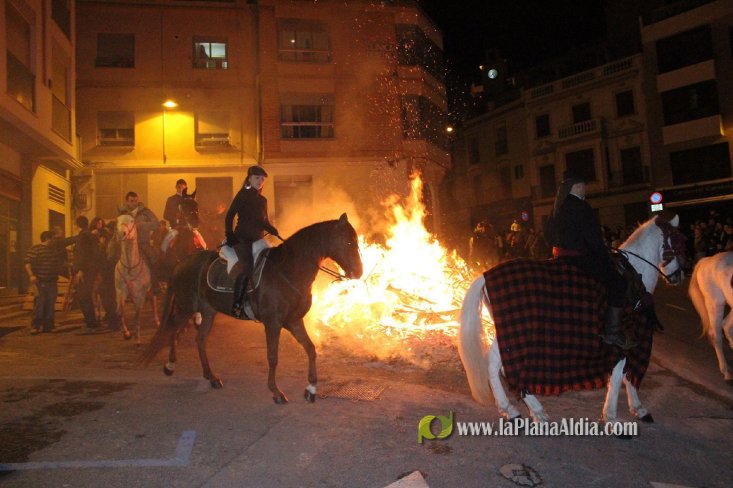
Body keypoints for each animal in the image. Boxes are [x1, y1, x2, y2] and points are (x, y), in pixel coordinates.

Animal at [114, 215, 152, 346]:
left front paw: (137, 338)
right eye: (117, 220)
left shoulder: (140, 294)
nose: (121, 233)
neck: (130, 267)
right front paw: (126, 333)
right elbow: (120, 311)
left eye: (132, 221)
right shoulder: (121, 291)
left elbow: (138, 314)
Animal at [139, 214, 362, 404]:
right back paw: (170, 365)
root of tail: (181, 263)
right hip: (186, 308)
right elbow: (273, 357)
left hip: (208, 312)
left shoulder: (293, 321)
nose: (358, 272)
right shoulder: (273, 324)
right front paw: (276, 392)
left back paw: (211, 377)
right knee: (172, 330)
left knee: (199, 340)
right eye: (348, 242)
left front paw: (311, 389)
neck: (287, 271)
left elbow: (311, 349)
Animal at [458, 214, 688, 428]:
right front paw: (611, 417)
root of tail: (485, 275)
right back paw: (530, 410)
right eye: (676, 242)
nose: (679, 276)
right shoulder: (623, 341)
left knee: (495, 364)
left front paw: (637, 409)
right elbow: (618, 374)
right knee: (502, 366)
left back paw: (515, 410)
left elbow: (626, 373)